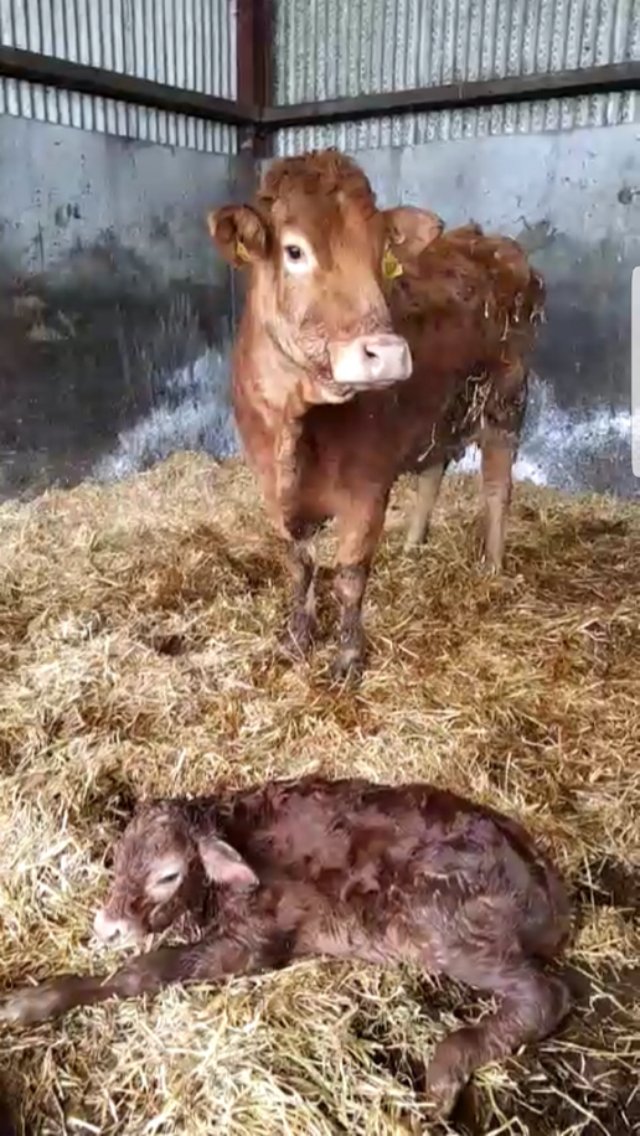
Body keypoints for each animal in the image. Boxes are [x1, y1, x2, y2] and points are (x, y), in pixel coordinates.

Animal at [0, 776, 571, 1120]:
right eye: (119, 859)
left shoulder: (255, 943)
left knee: (545, 994)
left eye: (167, 874)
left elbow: (144, 971)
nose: (107, 927)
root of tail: (548, 889)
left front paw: (29, 1002)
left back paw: (444, 1075)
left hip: (440, 921)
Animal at [206, 149, 544, 680]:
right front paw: (297, 638)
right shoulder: (271, 489)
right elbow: (300, 567)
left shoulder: (367, 487)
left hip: (506, 403)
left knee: (497, 487)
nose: (388, 354)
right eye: (294, 251)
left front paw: (347, 657)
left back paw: (492, 567)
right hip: (437, 416)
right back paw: (411, 547)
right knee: (432, 473)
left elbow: (349, 574)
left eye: (379, 253)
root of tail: (489, 242)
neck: (296, 425)